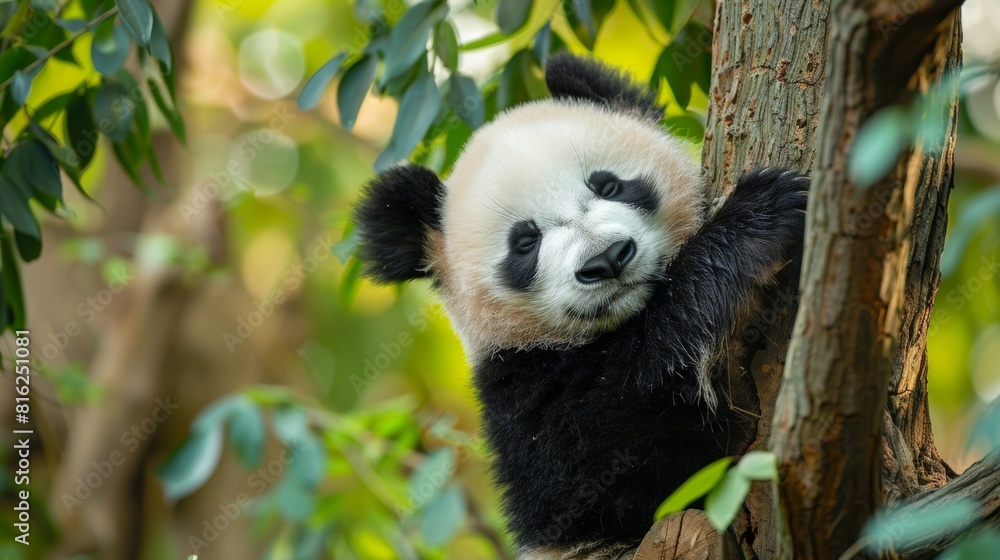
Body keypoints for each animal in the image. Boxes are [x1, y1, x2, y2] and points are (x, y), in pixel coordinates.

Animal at [353, 53, 808, 559]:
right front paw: (759, 214)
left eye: (608, 185)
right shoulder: (524, 394)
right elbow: (614, 456)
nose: (607, 259)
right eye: (525, 243)